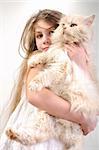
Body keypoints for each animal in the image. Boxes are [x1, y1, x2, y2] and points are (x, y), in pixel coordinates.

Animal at [6, 14, 99, 150]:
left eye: (73, 25)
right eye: (62, 24)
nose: (64, 27)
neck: (63, 45)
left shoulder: (60, 68)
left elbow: (44, 75)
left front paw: (33, 85)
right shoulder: (54, 54)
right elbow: (45, 54)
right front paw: (32, 61)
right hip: (45, 118)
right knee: (32, 136)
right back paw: (12, 133)